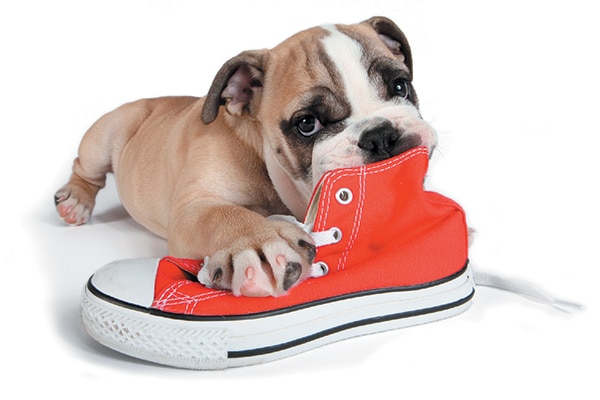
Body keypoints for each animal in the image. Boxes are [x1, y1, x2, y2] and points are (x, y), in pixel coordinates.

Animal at [54, 15, 434, 296]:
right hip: (103, 136)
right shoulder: (195, 206)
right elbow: (223, 215)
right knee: (85, 169)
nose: (380, 136)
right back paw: (75, 200)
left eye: (401, 86)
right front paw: (258, 243)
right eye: (307, 124)